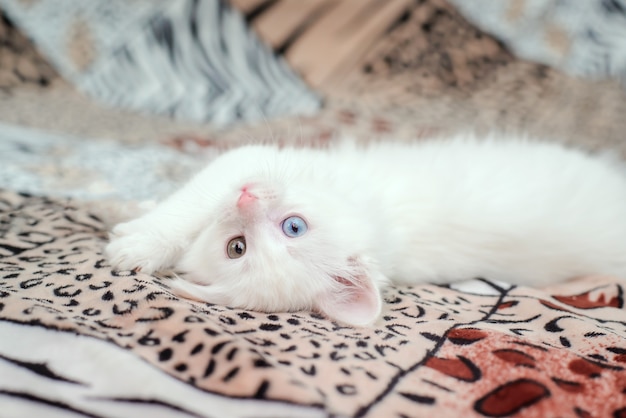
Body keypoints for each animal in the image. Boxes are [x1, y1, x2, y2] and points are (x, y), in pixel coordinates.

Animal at [107, 136, 626, 326]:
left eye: (238, 247)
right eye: (296, 227)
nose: (245, 200)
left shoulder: (249, 162)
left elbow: (196, 201)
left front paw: (136, 241)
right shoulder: (248, 164)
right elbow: (190, 200)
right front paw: (142, 222)